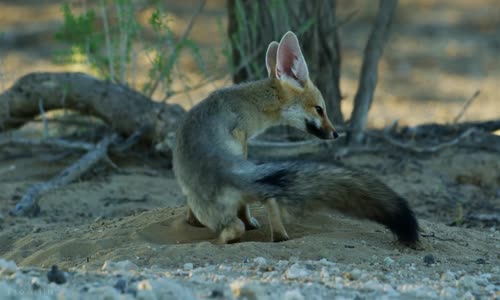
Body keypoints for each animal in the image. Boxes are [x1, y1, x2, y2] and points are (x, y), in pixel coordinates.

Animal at [172, 31, 418, 245]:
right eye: (320, 109)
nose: (336, 134)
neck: (246, 102)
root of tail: (227, 169)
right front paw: (192, 221)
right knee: (260, 205)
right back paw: (273, 236)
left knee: (242, 220)